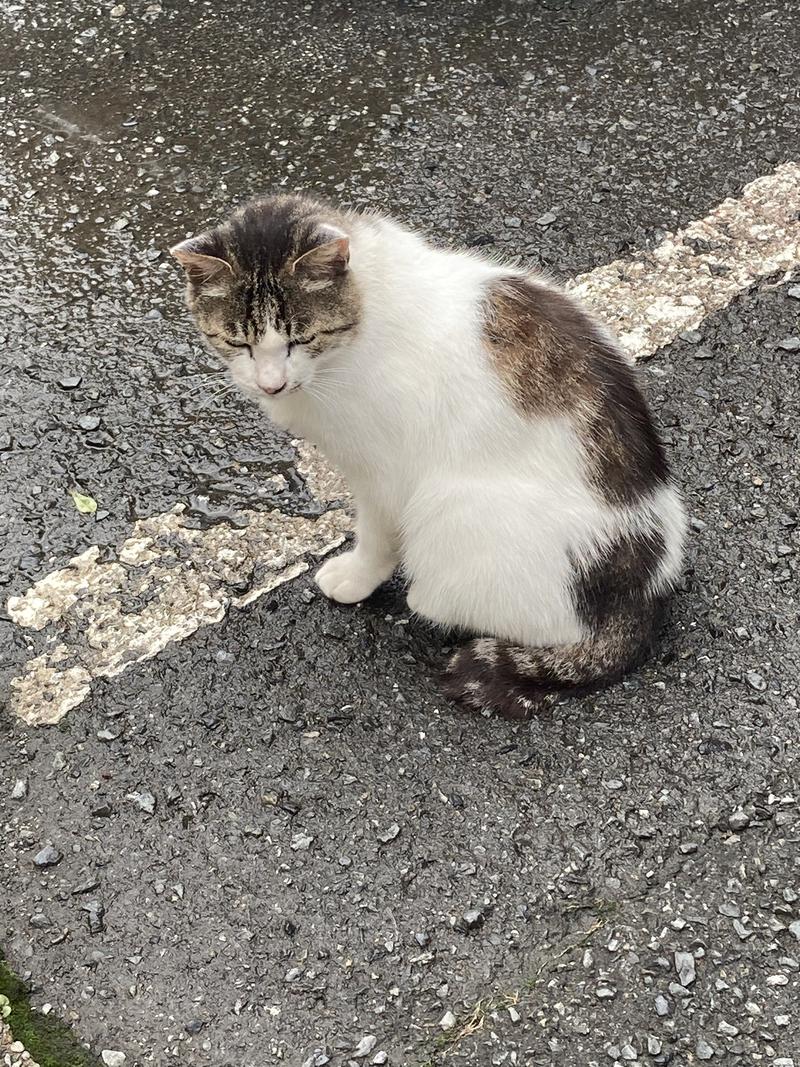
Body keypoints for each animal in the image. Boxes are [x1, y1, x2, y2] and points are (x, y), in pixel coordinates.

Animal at [172, 196, 686, 721]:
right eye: (238, 342)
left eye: (301, 338)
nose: (270, 383)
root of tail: (639, 597)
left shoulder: (383, 474)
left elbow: (377, 536)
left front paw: (357, 576)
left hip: (452, 509)